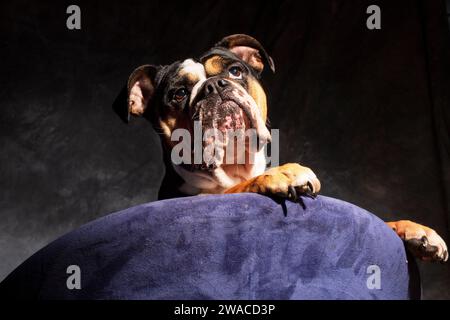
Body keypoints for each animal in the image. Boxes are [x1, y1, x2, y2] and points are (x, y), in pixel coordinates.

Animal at [116, 33, 446, 262]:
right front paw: (281, 174)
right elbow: (236, 189)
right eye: (179, 94)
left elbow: (379, 220)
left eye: (235, 71)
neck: (235, 165)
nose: (214, 86)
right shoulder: (196, 200)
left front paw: (414, 230)